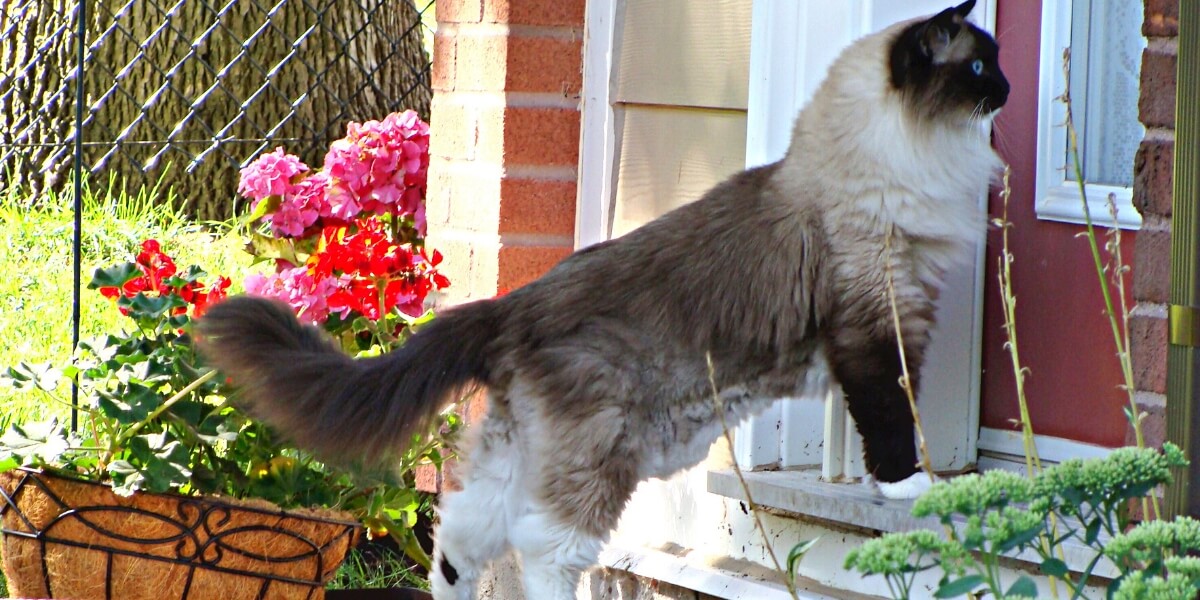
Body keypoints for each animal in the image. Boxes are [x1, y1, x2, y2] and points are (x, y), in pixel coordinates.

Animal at [196, 2, 1003, 597]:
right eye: (978, 66)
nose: (1005, 93)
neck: (889, 153)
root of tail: (511, 305)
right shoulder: (877, 324)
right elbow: (892, 415)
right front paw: (913, 488)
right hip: (596, 457)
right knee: (545, 552)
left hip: (519, 452)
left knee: (460, 539)